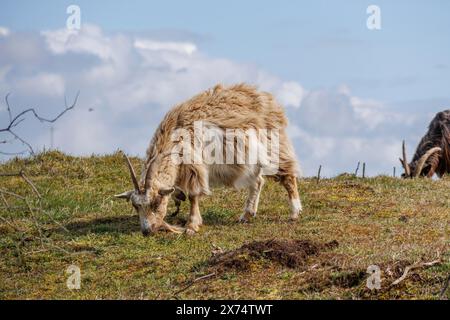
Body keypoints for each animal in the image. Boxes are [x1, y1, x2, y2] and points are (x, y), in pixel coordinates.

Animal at [115, 84, 302, 236]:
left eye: (156, 203)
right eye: (136, 206)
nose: (147, 231)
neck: (173, 134)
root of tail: (267, 99)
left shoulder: (193, 165)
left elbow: (193, 195)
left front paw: (192, 225)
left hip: (274, 146)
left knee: (287, 176)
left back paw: (295, 212)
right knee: (258, 181)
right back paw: (246, 215)